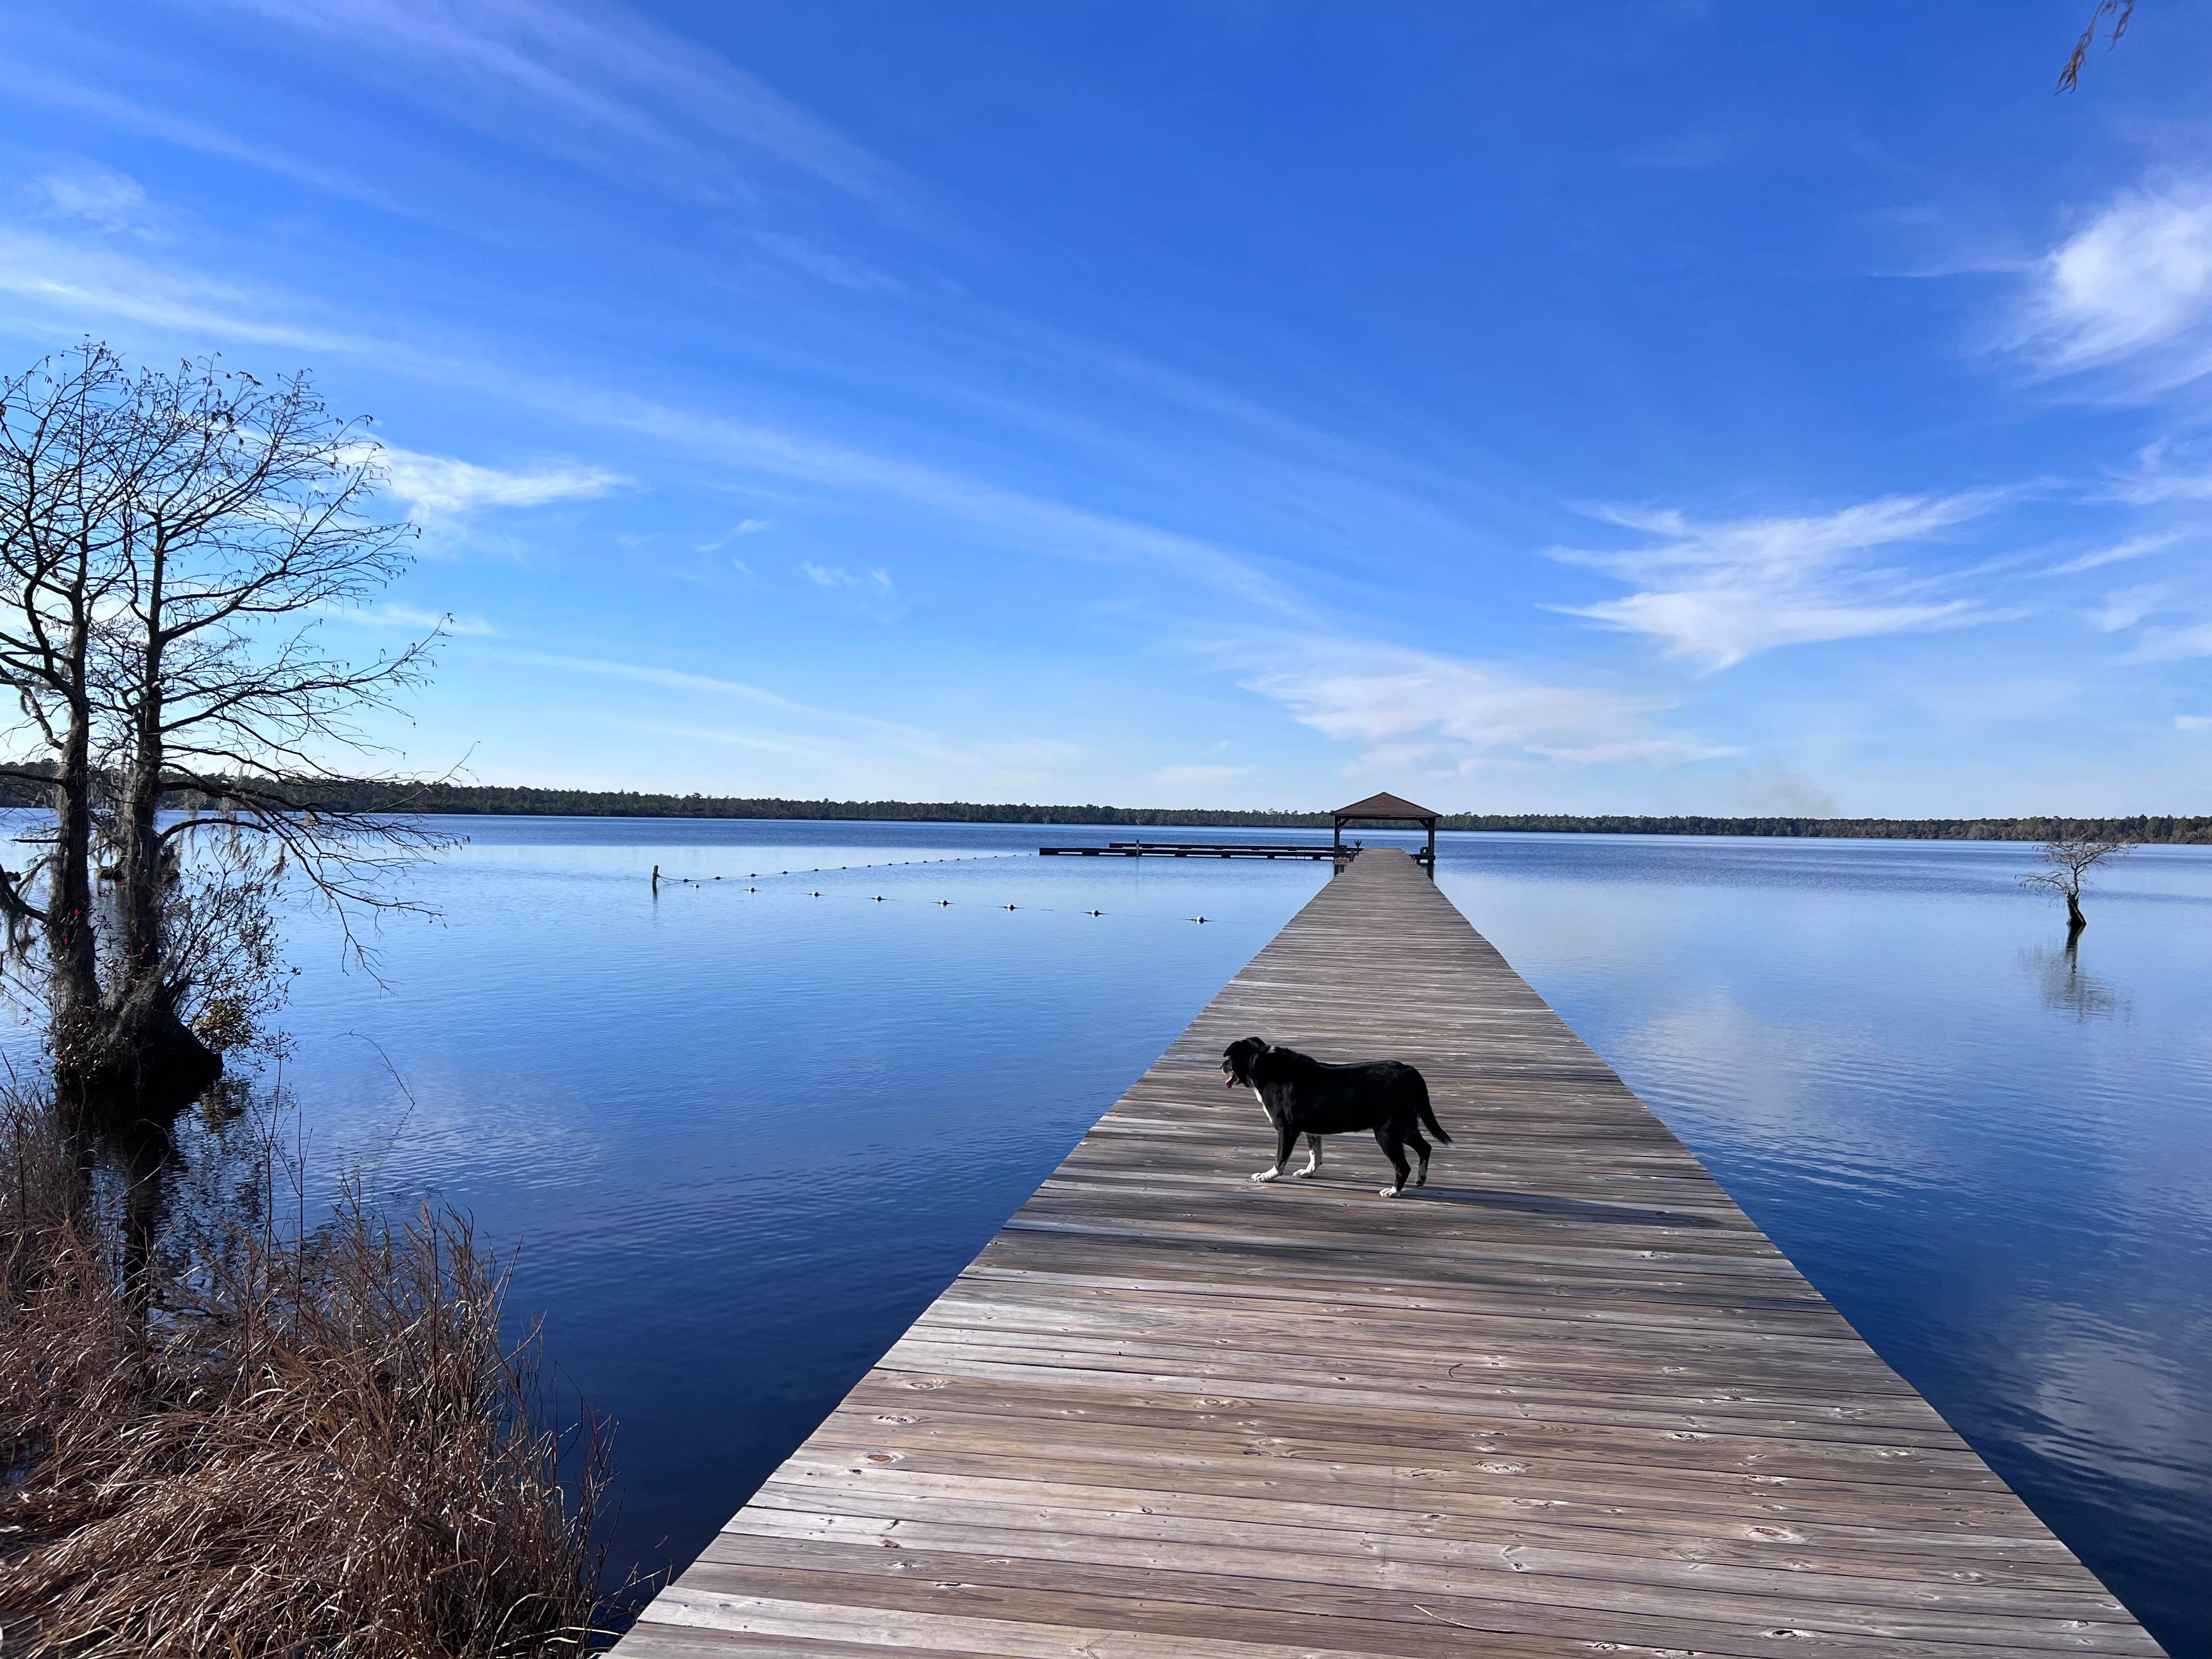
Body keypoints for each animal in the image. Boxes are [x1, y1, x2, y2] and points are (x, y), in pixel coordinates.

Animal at [1212, 1040, 1451, 1194]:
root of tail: (1411, 1072)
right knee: (1425, 1148)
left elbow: (1280, 1158)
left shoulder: (1286, 1130)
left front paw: (1267, 1176)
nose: (1220, 1066)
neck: (1262, 1065)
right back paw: (1420, 1179)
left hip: (1387, 1132)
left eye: (1229, 1059)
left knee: (1403, 1166)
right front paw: (1308, 1172)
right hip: (1405, 1125)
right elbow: (1315, 1154)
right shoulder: (1310, 1129)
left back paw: (1393, 1191)